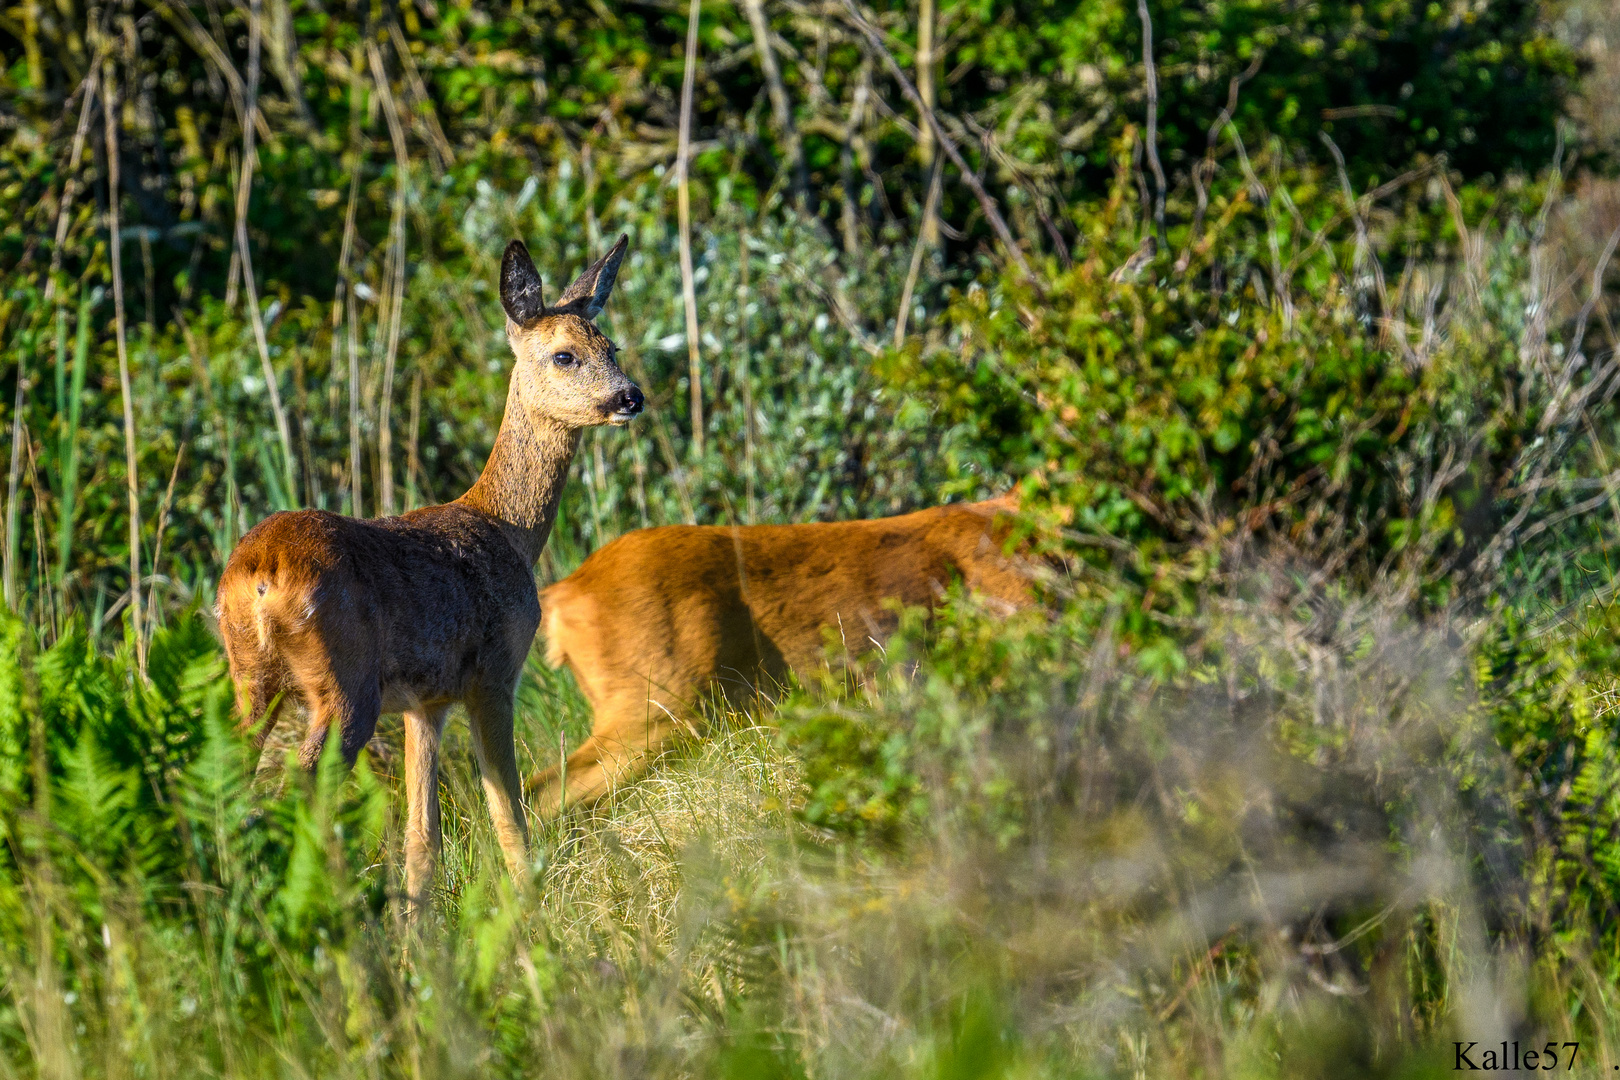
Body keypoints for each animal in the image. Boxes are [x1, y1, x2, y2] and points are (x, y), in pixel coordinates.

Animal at [217, 234, 644, 913]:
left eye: (612, 347)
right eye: (565, 355)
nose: (630, 397)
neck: (508, 529)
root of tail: (258, 575)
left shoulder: (426, 702)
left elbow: (424, 840)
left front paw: (422, 927)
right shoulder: (494, 672)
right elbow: (511, 815)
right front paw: (534, 914)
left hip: (252, 677)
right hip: (344, 683)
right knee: (294, 789)